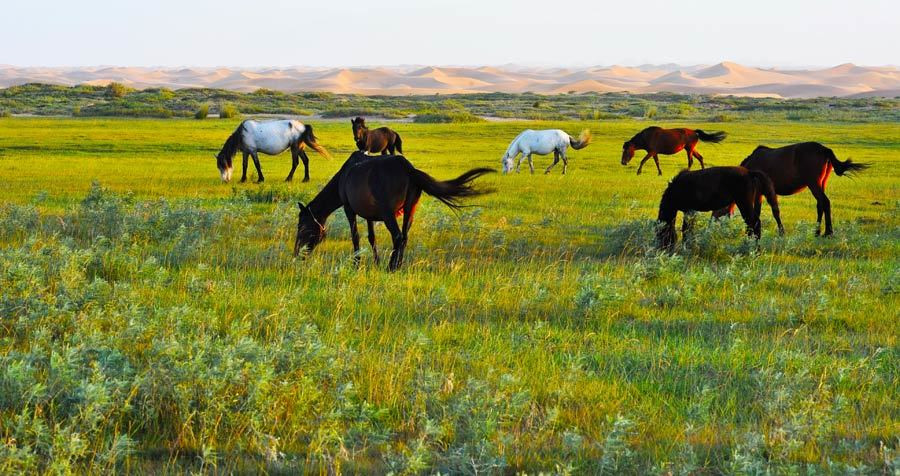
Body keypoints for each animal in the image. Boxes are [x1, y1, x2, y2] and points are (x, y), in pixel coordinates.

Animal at [294, 152, 492, 272]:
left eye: (302, 227)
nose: (297, 254)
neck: (344, 176)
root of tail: (409, 169)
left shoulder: (349, 209)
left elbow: (355, 236)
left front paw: (357, 264)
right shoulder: (369, 215)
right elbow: (371, 238)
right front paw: (376, 261)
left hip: (388, 213)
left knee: (397, 236)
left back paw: (391, 267)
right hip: (410, 210)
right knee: (404, 237)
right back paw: (398, 265)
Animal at [652, 165, 780, 251]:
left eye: (660, 233)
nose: (662, 249)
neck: (676, 189)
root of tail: (749, 173)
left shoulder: (689, 210)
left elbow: (686, 229)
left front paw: (686, 247)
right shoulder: (690, 211)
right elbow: (688, 228)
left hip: (744, 203)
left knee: (754, 223)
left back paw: (754, 249)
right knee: (751, 225)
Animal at [712, 142, 868, 237]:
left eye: (717, 209)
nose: (711, 224)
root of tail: (824, 149)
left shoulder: (763, 192)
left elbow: (768, 211)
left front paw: (779, 232)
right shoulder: (764, 193)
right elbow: (766, 211)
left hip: (814, 183)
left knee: (825, 202)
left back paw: (828, 232)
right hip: (821, 183)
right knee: (821, 205)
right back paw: (817, 232)